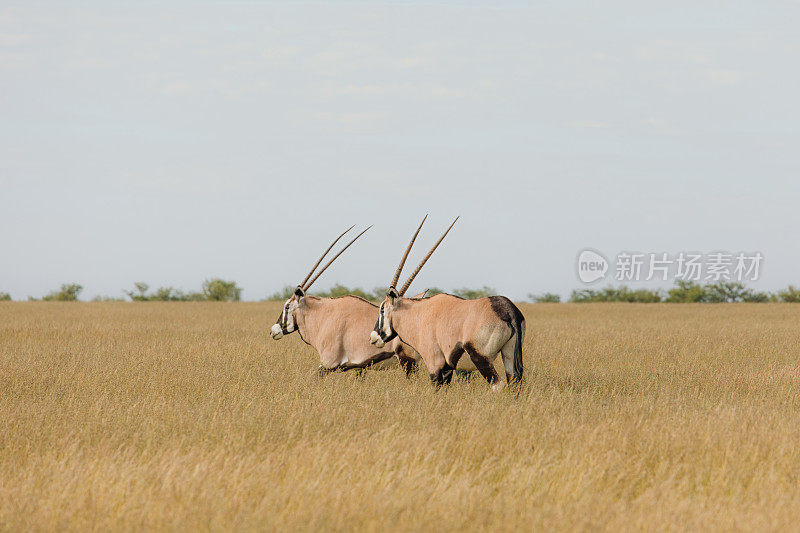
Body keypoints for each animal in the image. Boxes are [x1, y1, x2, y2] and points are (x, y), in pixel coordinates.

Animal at [270, 227, 424, 372]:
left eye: (287, 306)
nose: (273, 331)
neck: (323, 316)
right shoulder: (359, 367)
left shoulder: (328, 364)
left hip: (408, 362)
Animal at [368, 215, 524, 386]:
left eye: (382, 309)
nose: (373, 337)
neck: (418, 314)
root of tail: (508, 311)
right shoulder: (447, 368)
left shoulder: (434, 363)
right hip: (509, 355)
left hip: (481, 358)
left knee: (498, 384)